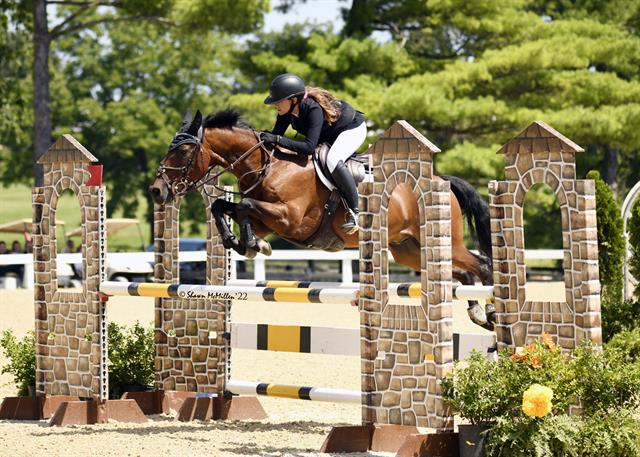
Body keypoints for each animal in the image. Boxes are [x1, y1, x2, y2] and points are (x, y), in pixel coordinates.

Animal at [148, 109, 495, 329]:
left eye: (182, 152)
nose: (156, 190)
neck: (269, 165)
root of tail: (441, 180)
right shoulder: (269, 220)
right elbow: (224, 206)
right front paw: (243, 242)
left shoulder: (290, 219)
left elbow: (243, 204)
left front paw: (249, 243)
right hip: (408, 250)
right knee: (461, 275)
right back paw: (477, 312)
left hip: (439, 241)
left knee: (481, 266)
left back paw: (491, 313)